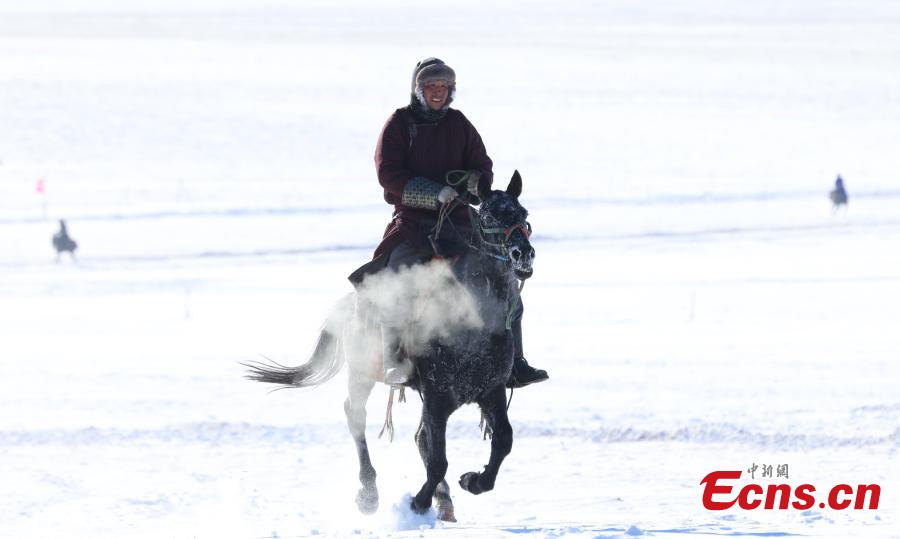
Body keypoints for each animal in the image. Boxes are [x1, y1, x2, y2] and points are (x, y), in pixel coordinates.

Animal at [243, 171, 536, 520]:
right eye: (488, 215)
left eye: (523, 213)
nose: (522, 253)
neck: (473, 319)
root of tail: (349, 304)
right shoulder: (437, 395)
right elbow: (438, 459)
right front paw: (418, 502)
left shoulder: (491, 391)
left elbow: (503, 441)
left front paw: (472, 481)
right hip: (361, 373)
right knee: (356, 416)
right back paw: (370, 494)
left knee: (418, 437)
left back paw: (443, 502)